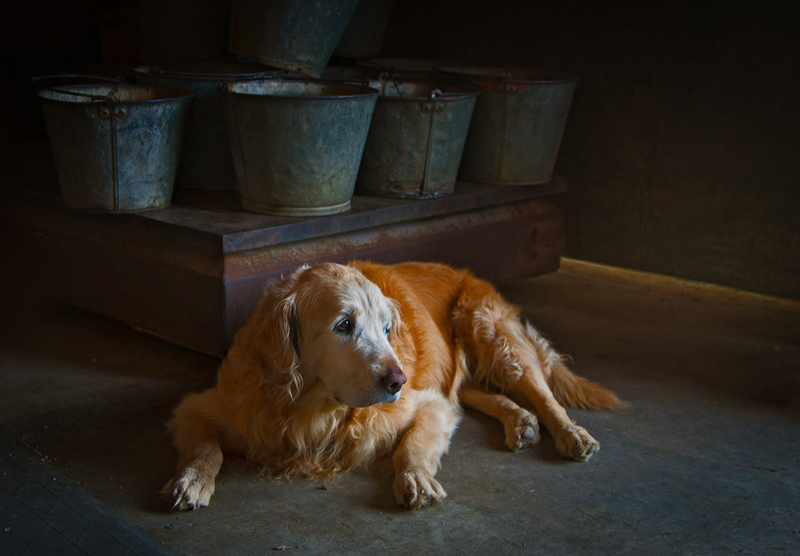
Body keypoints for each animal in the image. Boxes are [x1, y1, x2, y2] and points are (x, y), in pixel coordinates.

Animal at [162, 262, 624, 510]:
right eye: (343, 325)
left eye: (387, 329)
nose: (397, 379)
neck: (310, 411)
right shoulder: (203, 406)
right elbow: (206, 447)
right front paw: (192, 480)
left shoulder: (426, 405)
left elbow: (412, 445)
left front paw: (415, 478)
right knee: (474, 393)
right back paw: (519, 421)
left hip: (493, 333)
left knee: (544, 395)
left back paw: (571, 433)